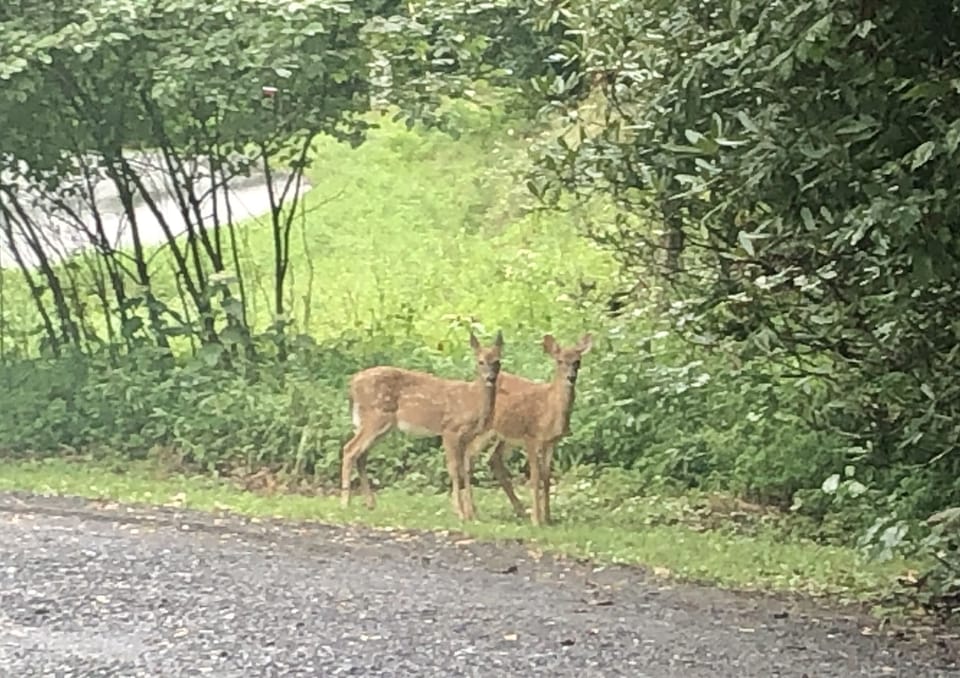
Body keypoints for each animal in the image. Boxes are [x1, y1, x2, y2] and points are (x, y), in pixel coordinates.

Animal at [340, 331, 504, 521]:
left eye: (497, 361)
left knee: (361, 455)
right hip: (375, 416)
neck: (473, 400)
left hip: (382, 425)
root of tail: (352, 384)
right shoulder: (450, 430)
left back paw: (370, 503)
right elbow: (454, 469)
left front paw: (472, 513)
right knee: (350, 449)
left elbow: (467, 469)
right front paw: (460, 512)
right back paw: (345, 502)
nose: (490, 378)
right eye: (480, 361)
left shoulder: (468, 437)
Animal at [463, 333, 593, 526]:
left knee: (493, 459)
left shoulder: (550, 442)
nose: (571, 377)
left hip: (506, 435)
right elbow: (535, 476)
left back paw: (520, 511)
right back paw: (471, 513)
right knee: (469, 453)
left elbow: (546, 476)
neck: (550, 408)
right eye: (560, 361)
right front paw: (537, 520)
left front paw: (548, 518)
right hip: (487, 430)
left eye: (577, 361)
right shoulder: (531, 437)